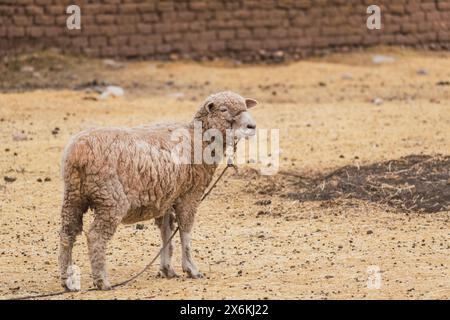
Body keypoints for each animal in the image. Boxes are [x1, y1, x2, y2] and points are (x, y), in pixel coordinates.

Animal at [59, 91, 256, 292]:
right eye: (224, 110)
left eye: (245, 108)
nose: (252, 126)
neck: (199, 138)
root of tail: (78, 152)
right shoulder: (190, 195)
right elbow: (185, 231)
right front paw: (191, 269)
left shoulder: (168, 197)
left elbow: (166, 232)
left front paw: (167, 269)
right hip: (110, 199)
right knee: (95, 237)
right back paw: (102, 281)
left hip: (73, 196)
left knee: (67, 234)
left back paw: (68, 282)